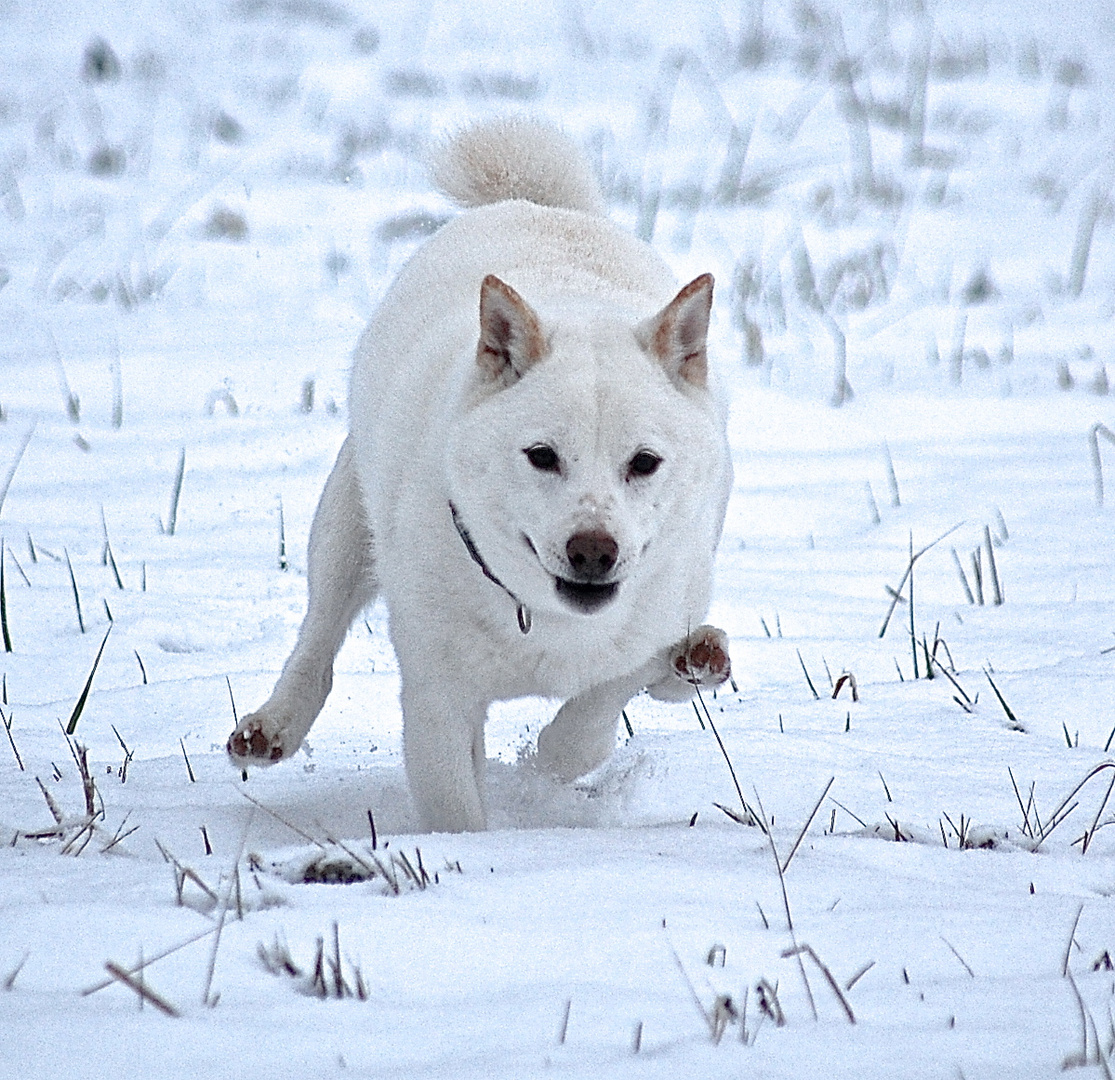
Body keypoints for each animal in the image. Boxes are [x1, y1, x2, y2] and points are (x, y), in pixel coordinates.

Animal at [228, 118, 731, 829]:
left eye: (644, 462)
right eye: (542, 455)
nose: (594, 551)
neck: (544, 618)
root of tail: (537, 206)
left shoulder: (645, 627)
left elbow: (596, 713)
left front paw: (554, 760)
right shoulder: (437, 695)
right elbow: (452, 802)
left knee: (671, 675)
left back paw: (702, 656)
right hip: (346, 526)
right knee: (319, 635)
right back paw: (274, 724)